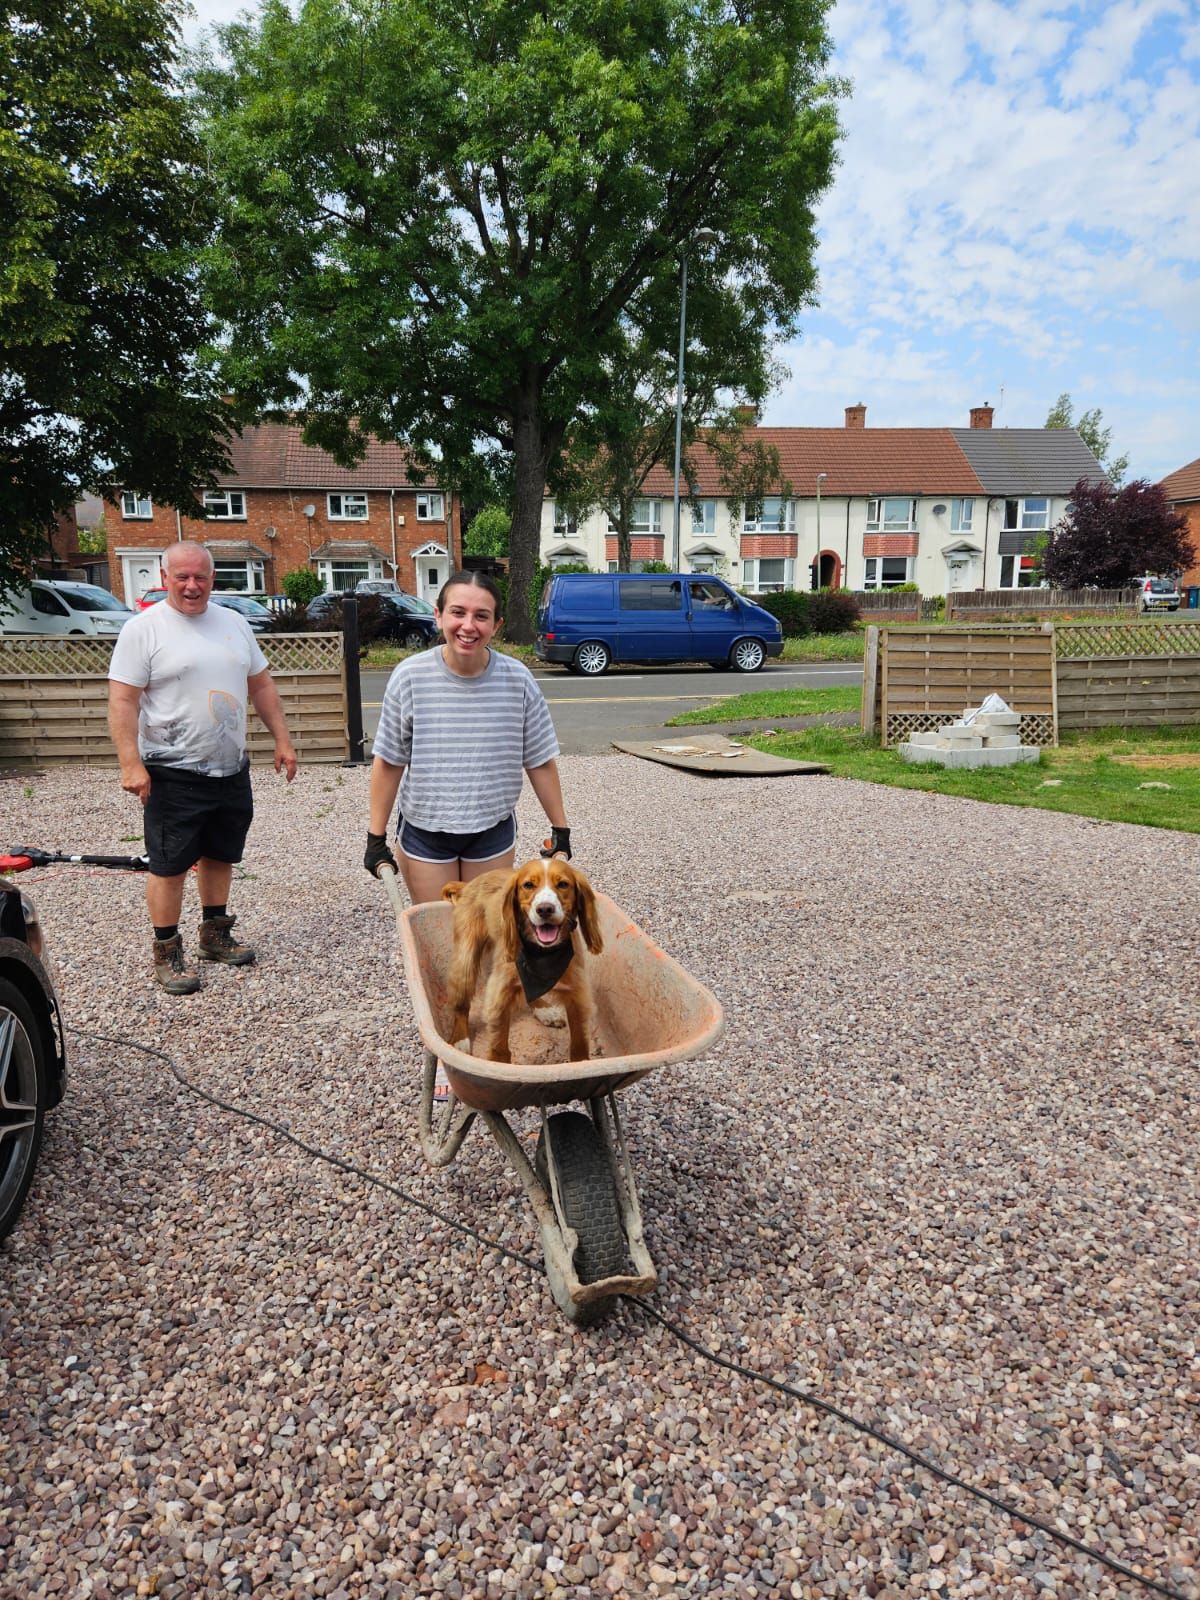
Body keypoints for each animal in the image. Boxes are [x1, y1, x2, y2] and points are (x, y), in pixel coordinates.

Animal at [441, 857, 604, 1068]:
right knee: (461, 1004)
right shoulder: (499, 996)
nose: (545, 909)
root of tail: (469, 883)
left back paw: (545, 1011)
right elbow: (499, 1047)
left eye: (563, 884)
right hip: (465, 959)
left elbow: (579, 1044)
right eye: (528, 885)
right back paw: (460, 1038)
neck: (542, 954)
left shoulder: (577, 994)